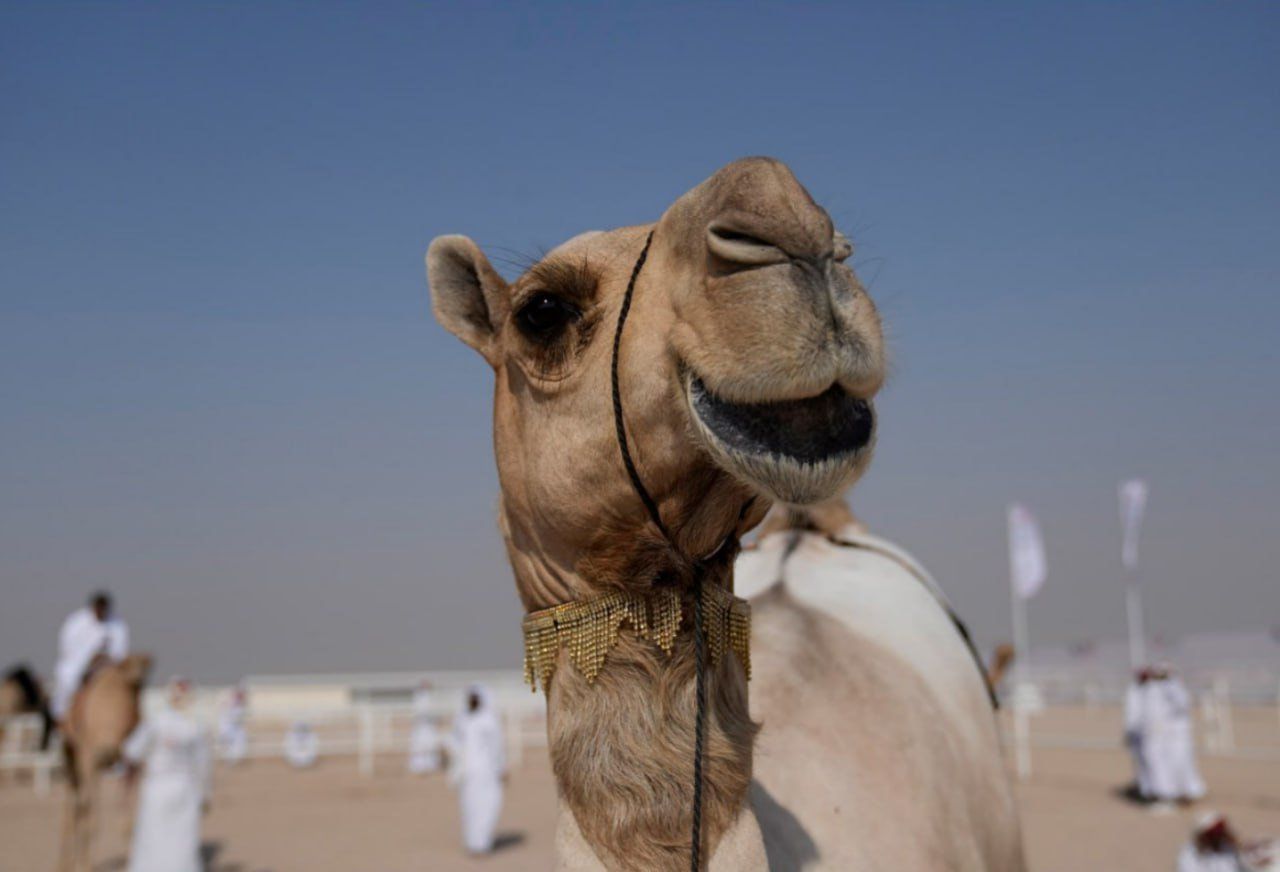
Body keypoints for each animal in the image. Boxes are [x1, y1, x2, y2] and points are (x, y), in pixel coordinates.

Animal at [58, 653, 151, 872]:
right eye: (129, 665)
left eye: (145, 667)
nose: (139, 676)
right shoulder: (90, 759)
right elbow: (90, 811)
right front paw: (85, 866)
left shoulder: (130, 765)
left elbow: (128, 818)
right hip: (71, 759)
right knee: (73, 805)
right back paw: (65, 864)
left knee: (79, 805)